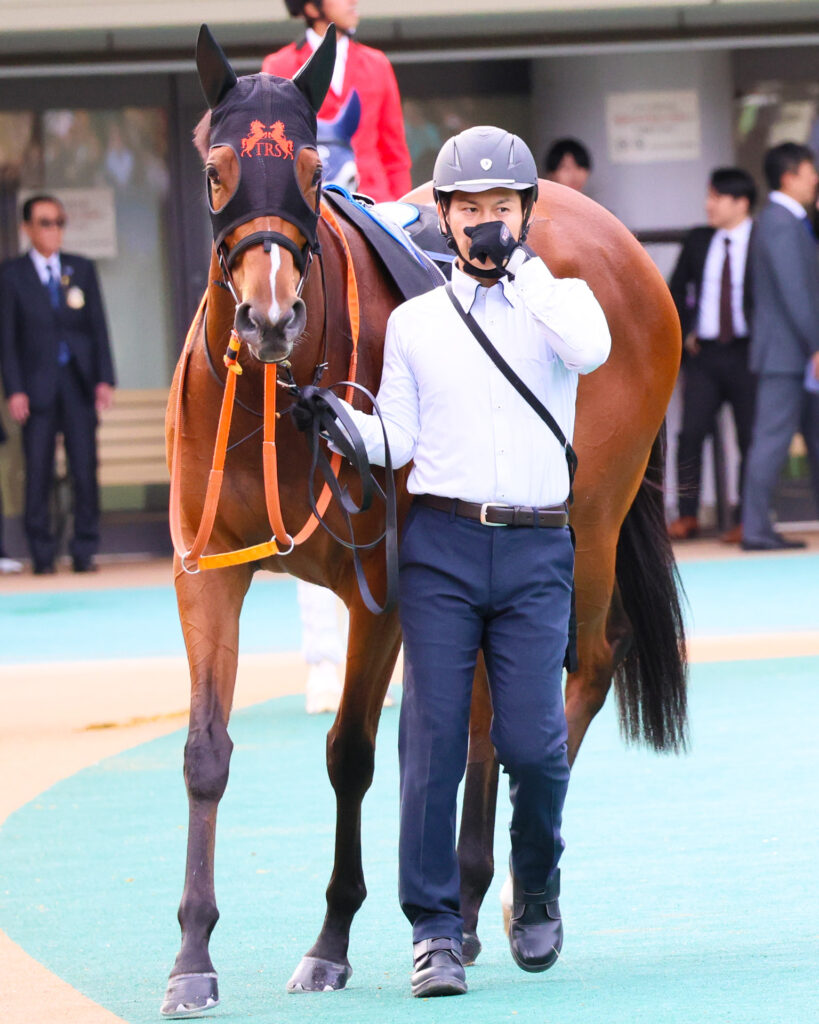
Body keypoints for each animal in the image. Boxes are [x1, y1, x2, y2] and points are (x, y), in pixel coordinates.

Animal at [161, 24, 686, 1016]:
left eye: (304, 171)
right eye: (214, 171)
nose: (270, 315)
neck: (273, 403)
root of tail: (620, 243)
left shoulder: (387, 592)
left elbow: (352, 755)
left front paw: (331, 940)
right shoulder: (207, 572)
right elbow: (206, 753)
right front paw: (192, 958)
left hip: (587, 522)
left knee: (583, 668)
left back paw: (519, 892)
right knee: (486, 704)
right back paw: (474, 899)